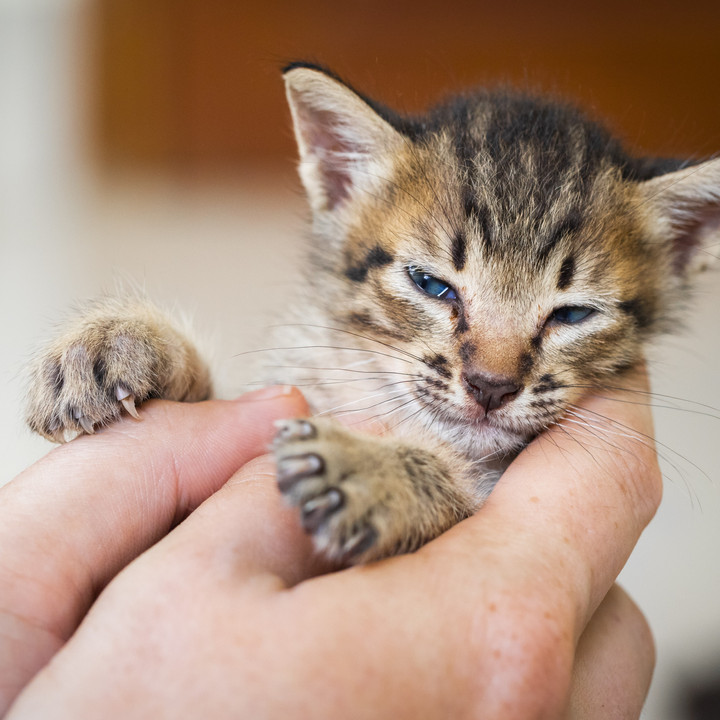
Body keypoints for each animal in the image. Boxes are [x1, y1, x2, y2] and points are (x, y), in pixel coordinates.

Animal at [23, 63, 720, 564]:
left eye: (572, 315)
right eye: (431, 285)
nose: (491, 386)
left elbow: (462, 495)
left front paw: (371, 472)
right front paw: (117, 341)